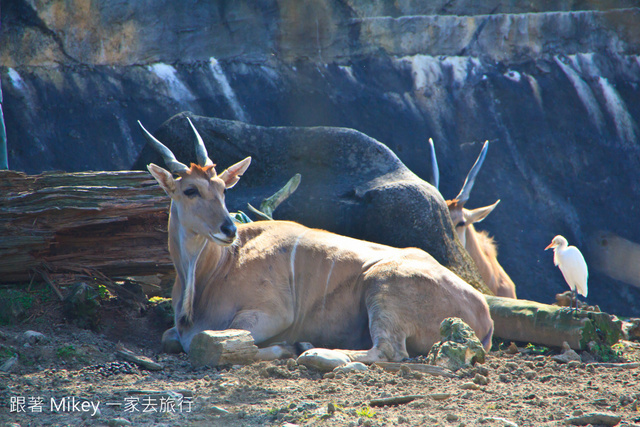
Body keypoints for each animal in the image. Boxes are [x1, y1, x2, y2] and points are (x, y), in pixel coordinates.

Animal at [141, 118, 496, 362]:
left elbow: (210, 342)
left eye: (222, 189)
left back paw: (316, 352)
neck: (216, 270)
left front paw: (289, 346)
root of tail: (484, 313)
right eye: (191, 190)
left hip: (383, 285)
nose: (229, 229)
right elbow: (171, 337)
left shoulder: (270, 315)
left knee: (388, 351)